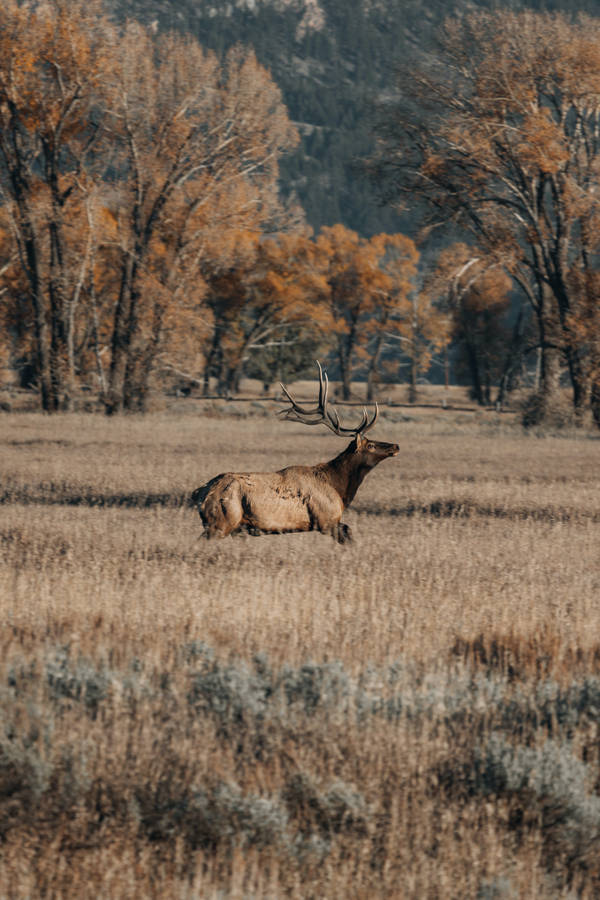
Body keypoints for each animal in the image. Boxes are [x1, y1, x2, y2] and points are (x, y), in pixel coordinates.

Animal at [192, 360, 398, 540]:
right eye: (370, 445)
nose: (395, 446)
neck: (339, 487)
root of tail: (200, 493)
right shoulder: (326, 520)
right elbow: (348, 534)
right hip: (221, 521)